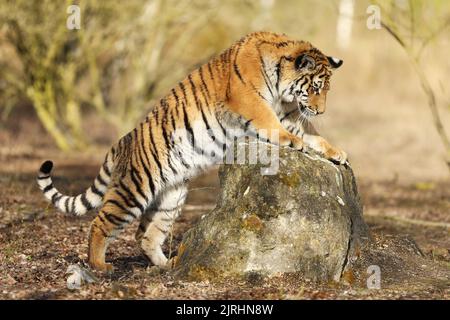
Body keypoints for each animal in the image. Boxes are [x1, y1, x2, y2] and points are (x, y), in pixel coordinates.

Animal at [37, 31, 346, 272]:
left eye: (326, 89)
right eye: (316, 87)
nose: (321, 111)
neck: (281, 85)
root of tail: (120, 142)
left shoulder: (290, 113)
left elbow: (312, 134)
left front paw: (336, 152)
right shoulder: (252, 103)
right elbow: (275, 125)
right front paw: (293, 141)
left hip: (170, 198)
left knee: (147, 235)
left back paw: (167, 265)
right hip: (133, 189)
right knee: (100, 223)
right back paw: (99, 265)